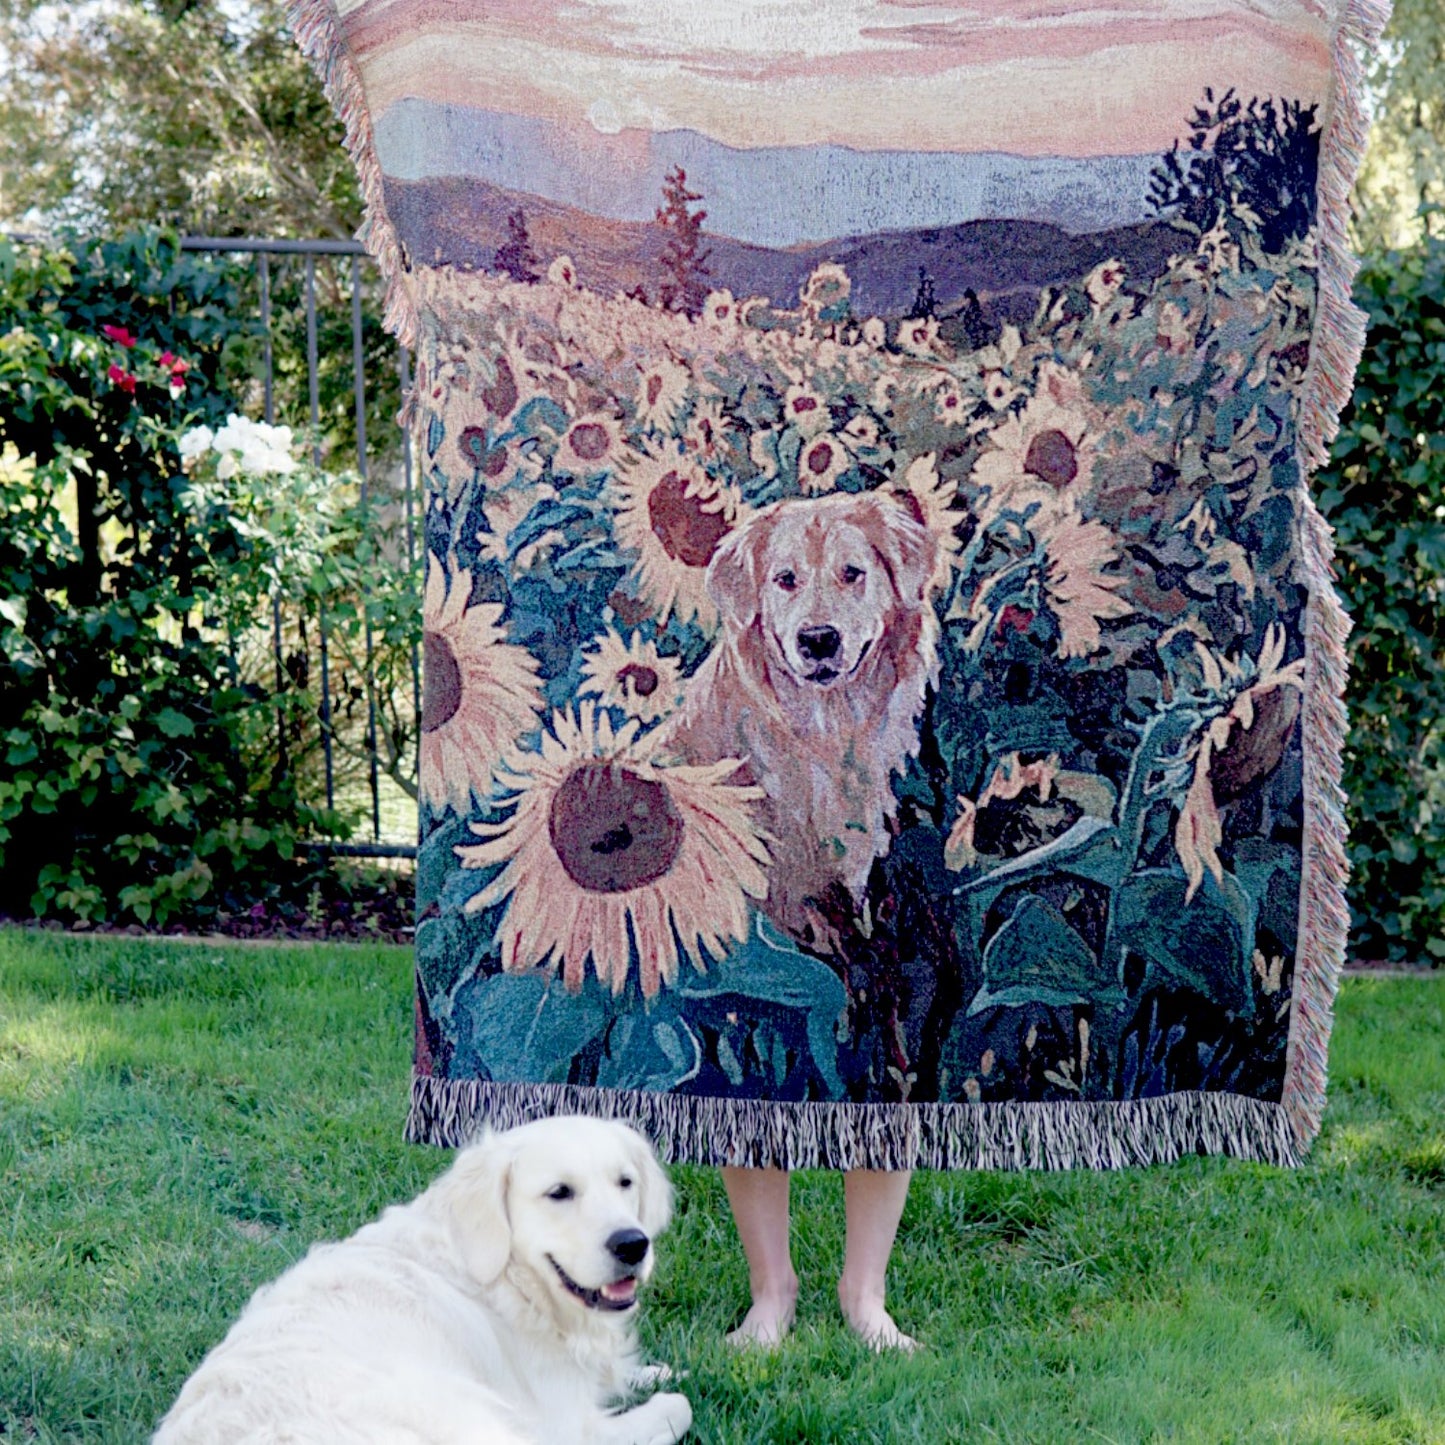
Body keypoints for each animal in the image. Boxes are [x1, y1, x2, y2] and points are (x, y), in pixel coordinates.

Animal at [155, 1115, 696, 1445]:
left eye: (625, 1182)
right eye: (559, 1192)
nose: (633, 1244)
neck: (507, 1283)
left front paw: (655, 1370)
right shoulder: (566, 1428)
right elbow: (680, 1406)